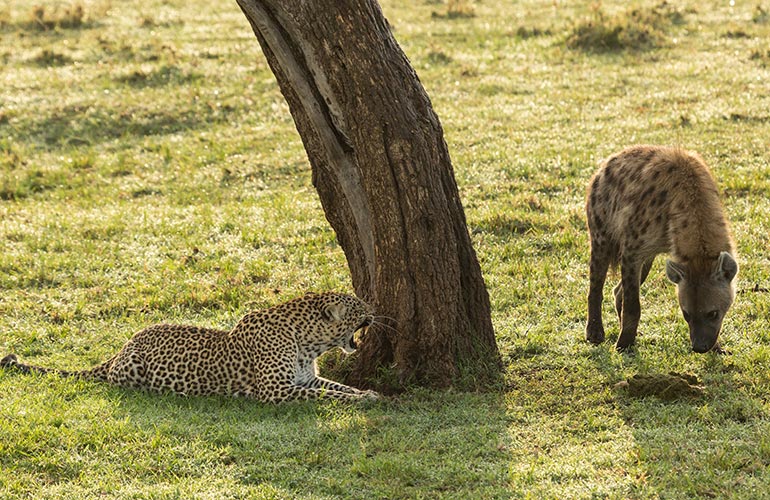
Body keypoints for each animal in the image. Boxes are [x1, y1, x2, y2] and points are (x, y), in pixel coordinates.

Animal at [1, 292, 379, 402]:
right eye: (358, 306)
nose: (374, 310)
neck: (310, 343)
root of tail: (123, 345)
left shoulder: (306, 379)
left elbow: (337, 386)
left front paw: (368, 393)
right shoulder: (277, 392)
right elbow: (328, 395)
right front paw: (365, 401)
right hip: (132, 368)